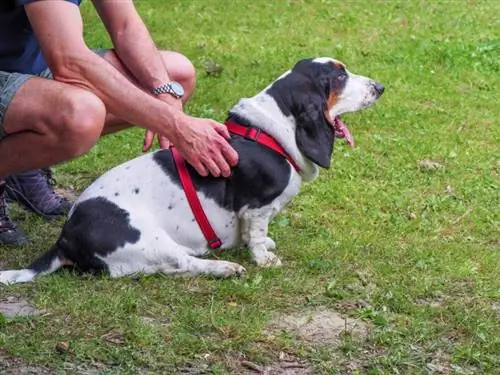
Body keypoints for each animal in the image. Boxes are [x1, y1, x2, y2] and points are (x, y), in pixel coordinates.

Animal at [0, 56, 384, 284]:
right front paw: (264, 259)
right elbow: (258, 236)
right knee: (181, 265)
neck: (270, 130)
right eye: (339, 75)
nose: (380, 87)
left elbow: (253, 236)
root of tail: (65, 237)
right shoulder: (256, 209)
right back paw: (224, 268)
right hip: (148, 239)